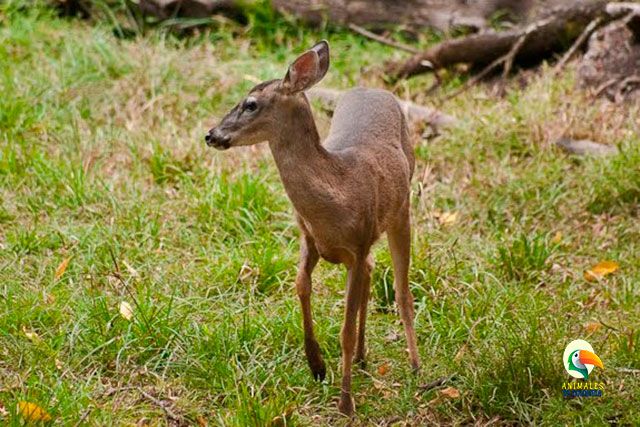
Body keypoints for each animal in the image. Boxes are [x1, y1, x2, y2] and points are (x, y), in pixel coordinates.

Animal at [205, 41, 422, 418]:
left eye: (251, 103)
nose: (212, 135)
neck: (337, 194)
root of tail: (374, 89)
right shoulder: (309, 238)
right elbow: (300, 286)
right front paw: (317, 364)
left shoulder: (357, 244)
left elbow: (345, 329)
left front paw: (346, 403)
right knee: (372, 271)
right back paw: (363, 357)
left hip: (402, 207)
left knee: (401, 290)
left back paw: (414, 365)